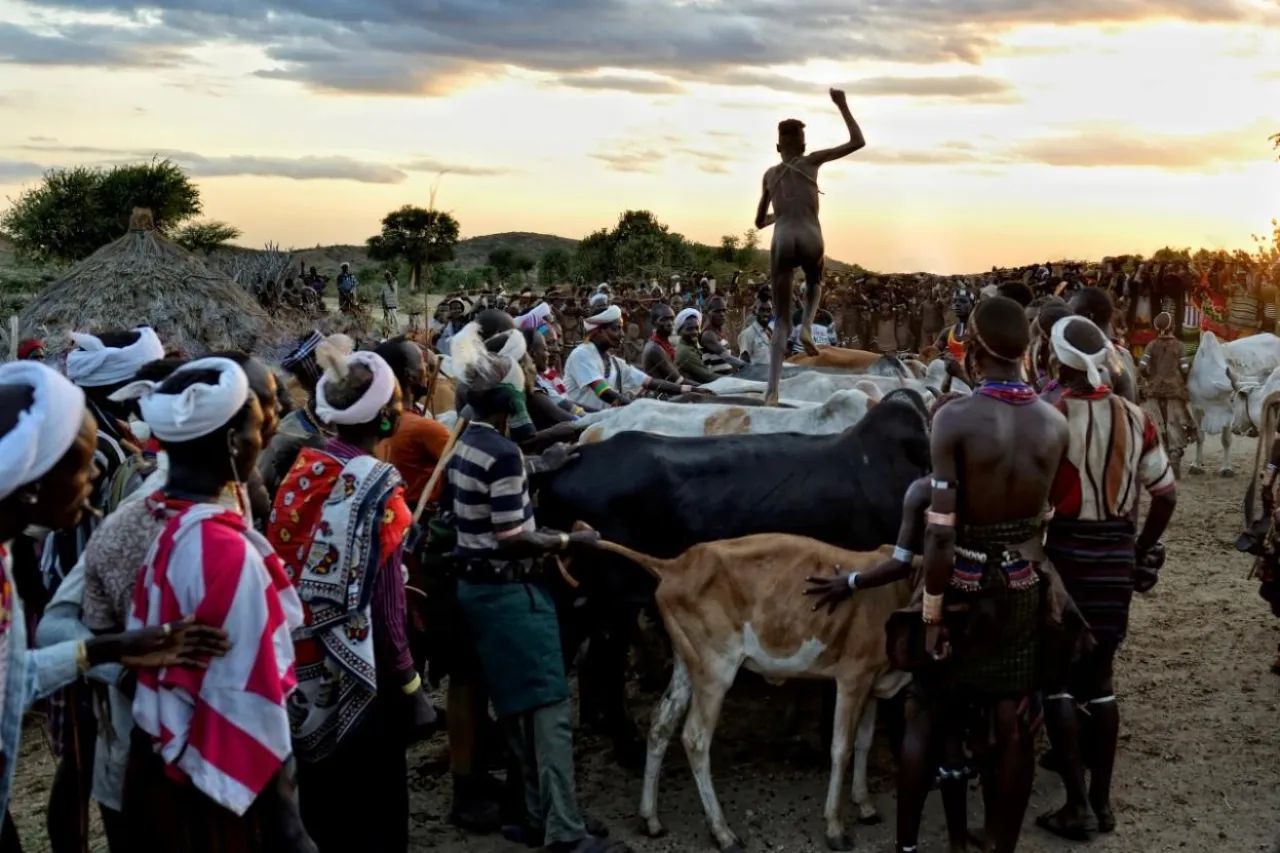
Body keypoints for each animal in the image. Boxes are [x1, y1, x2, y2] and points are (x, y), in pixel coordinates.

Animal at [1182, 333, 1280, 473]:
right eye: (1232, 399)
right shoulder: (1196, 408)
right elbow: (1199, 437)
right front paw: (1196, 464)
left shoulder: (1228, 415)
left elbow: (1226, 440)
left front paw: (1226, 468)